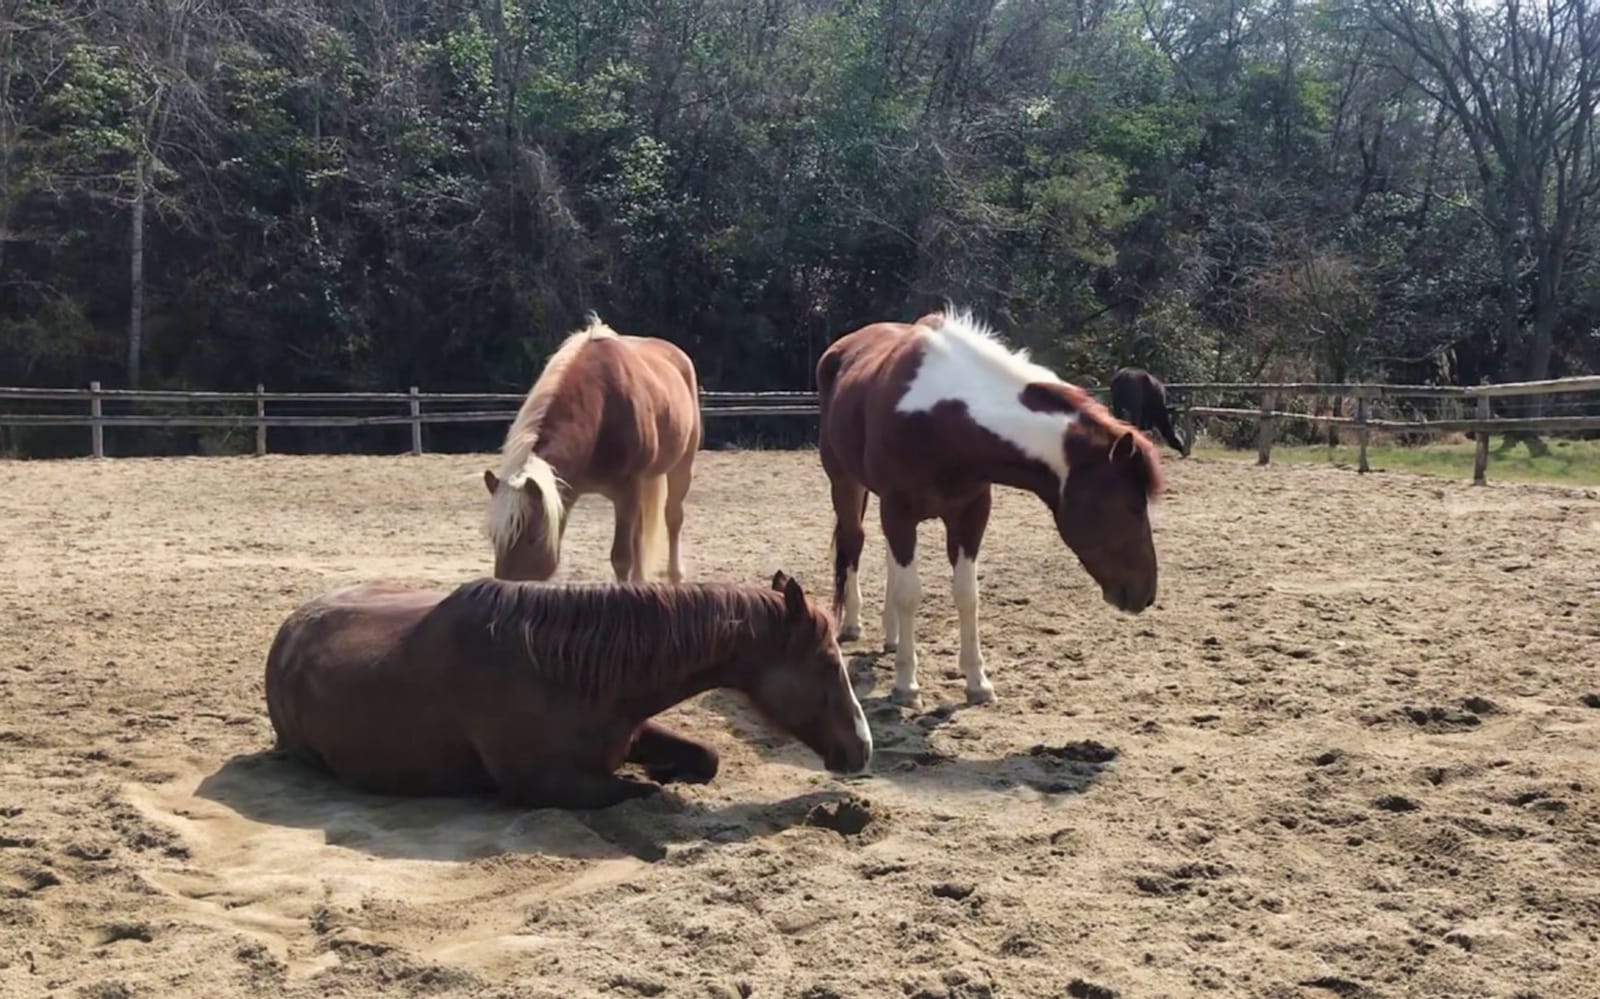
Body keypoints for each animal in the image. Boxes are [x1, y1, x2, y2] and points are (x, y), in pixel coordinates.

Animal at [263, 571, 872, 810]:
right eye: (827, 663)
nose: (863, 748)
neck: (562, 670)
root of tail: (289, 628)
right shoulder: (546, 783)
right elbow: (640, 793)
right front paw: (658, 780)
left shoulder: (632, 728)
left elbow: (707, 756)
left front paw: (671, 768)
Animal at [484, 314, 701, 583]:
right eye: (494, 537)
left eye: (532, 538)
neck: (602, 411)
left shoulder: (627, 490)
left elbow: (621, 558)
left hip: (681, 466)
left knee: (673, 517)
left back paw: (675, 576)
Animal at [817, 307, 1164, 709]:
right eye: (1130, 507)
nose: (1146, 594)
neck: (944, 418)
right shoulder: (899, 511)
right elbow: (910, 595)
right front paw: (906, 684)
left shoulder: (971, 515)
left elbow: (967, 595)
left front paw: (977, 681)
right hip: (845, 482)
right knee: (854, 541)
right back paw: (853, 624)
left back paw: (892, 636)